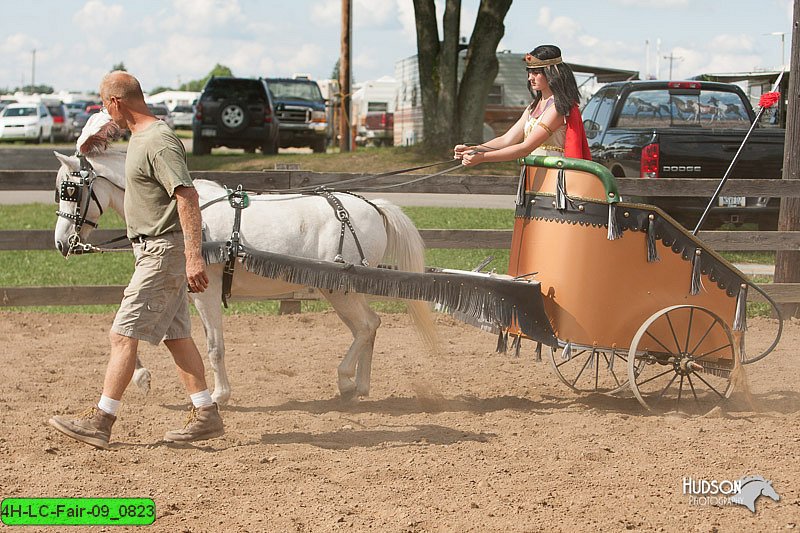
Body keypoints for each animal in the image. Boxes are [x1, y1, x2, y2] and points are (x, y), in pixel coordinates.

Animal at [52, 130, 434, 404]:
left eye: (69, 190)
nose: (61, 242)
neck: (181, 216)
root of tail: (373, 206)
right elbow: (134, 327)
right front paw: (141, 377)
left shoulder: (203, 290)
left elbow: (213, 345)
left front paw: (220, 394)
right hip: (345, 289)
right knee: (369, 325)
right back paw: (360, 385)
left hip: (339, 288)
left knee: (366, 326)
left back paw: (346, 381)